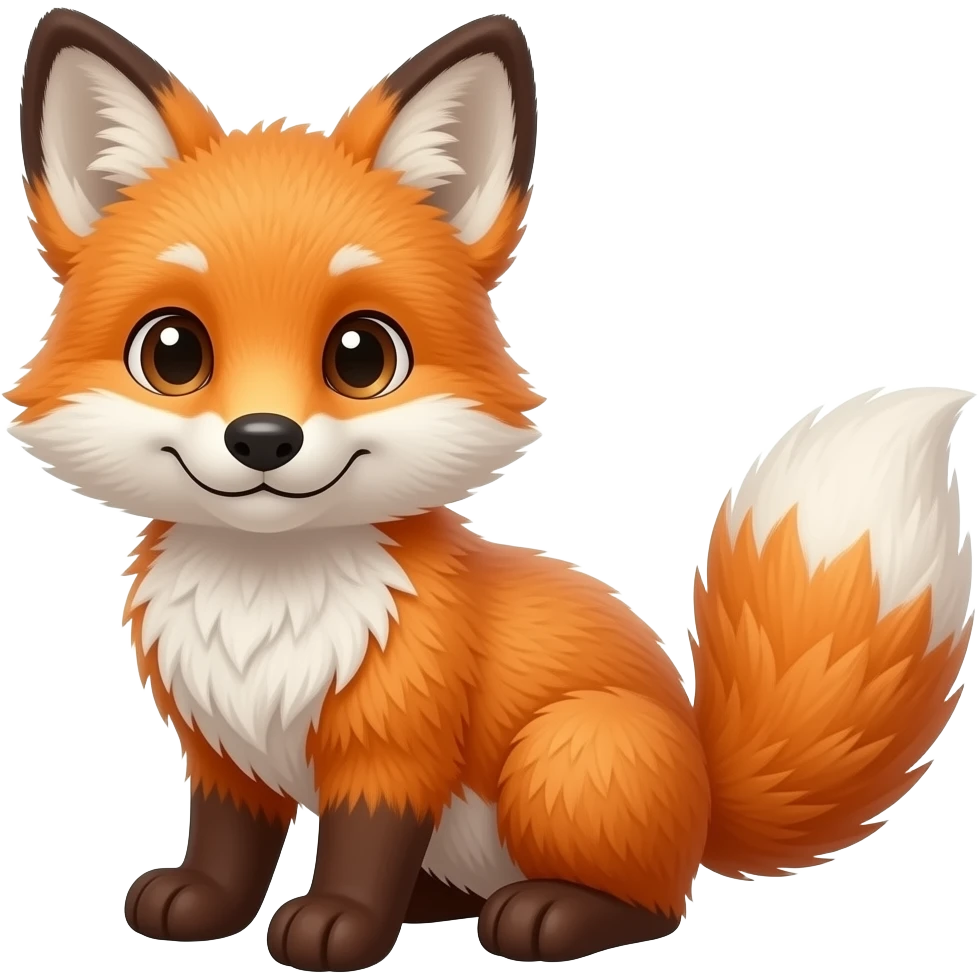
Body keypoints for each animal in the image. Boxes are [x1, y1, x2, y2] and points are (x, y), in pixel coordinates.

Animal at [7, 6, 975, 972]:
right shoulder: (219, 748)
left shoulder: (395, 748)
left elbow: (363, 849)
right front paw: (205, 903)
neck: (264, 609)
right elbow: (228, 840)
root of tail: (705, 790)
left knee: (655, 905)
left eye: (361, 354)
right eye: (172, 351)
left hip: (569, 753)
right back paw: (437, 905)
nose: (263, 440)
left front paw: (340, 925)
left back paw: (547, 913)